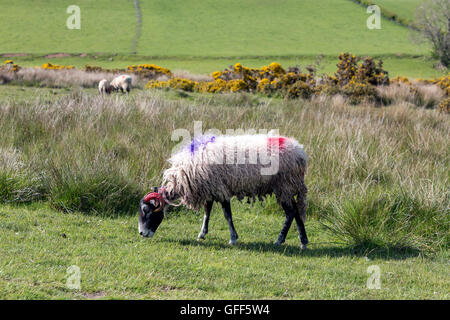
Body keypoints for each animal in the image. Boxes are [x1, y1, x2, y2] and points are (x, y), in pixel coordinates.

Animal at [138, 134, 310, 249]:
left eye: (146, 210)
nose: (141, 233)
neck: (184, 175)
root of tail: (300, 152)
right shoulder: (210, 188)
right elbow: (207, 212)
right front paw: (202, 234)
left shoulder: (220, 188)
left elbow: (227, 215)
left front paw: (233, 238)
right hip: (287, 186)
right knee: (295, 211)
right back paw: (302, 241)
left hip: (285, 184)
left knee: (291, 212)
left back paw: (282, 240)